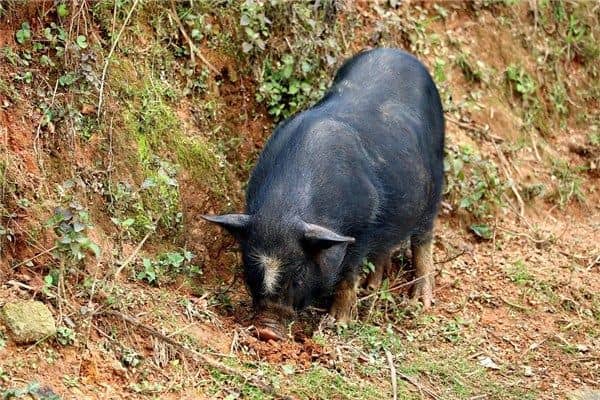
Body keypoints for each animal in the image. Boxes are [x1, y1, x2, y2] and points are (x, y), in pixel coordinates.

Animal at [204, 48, 442, 338]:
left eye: (298, 275)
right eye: (252, 270)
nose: (266, 331)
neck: (284, 209)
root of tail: (399, 51)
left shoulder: (364, 223)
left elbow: (347, 273)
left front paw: (337, 323)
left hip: (435, 180)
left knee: (423, 238)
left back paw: (419, 301)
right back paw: (372, 287)